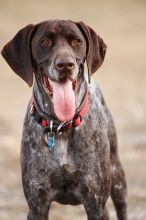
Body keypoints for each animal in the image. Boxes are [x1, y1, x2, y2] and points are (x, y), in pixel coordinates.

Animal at [1, 19, 126, 219]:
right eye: (44, 42)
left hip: (118, 178)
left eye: (76, 41)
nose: (65, 64)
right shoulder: (37, 205)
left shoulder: (97, 204)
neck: (60, 126)